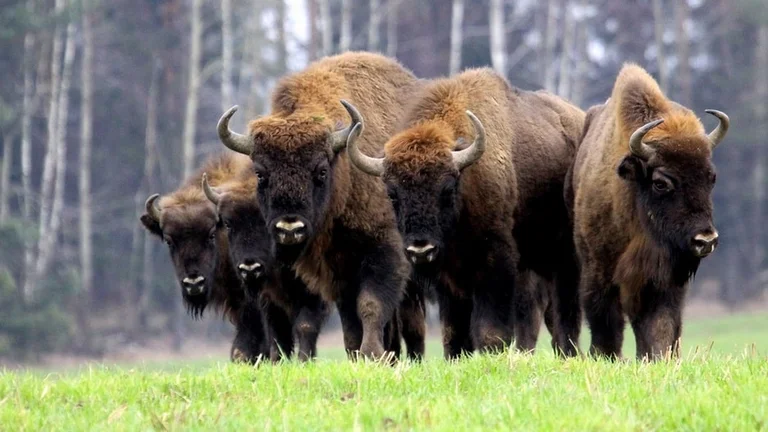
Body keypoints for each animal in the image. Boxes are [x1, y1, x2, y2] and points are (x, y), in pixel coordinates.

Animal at [215, 52, 425, 359]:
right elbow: (351, 321)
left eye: (321, 171)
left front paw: (371, 354)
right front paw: (356, 354)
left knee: (412, 322)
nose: (290, 228)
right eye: (261, 174)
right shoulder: (338, 274)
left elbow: (371, 306)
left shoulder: (386, 253)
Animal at [347, 68, 586, 357]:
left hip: (562, 257)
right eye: (392, 194)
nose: (420, 250)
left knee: (564, 310)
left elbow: (490, 330)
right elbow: (454, 334)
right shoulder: (449, 279)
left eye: (448, 188)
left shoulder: (496, 261)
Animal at [567, 63, 729, 360]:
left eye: (711, 177)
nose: (706, 240)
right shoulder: (598, 272)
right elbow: (605, 324)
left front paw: (657, 358)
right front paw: (605, 356)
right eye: (661, 182)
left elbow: (660, 325)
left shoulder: (662, 281)